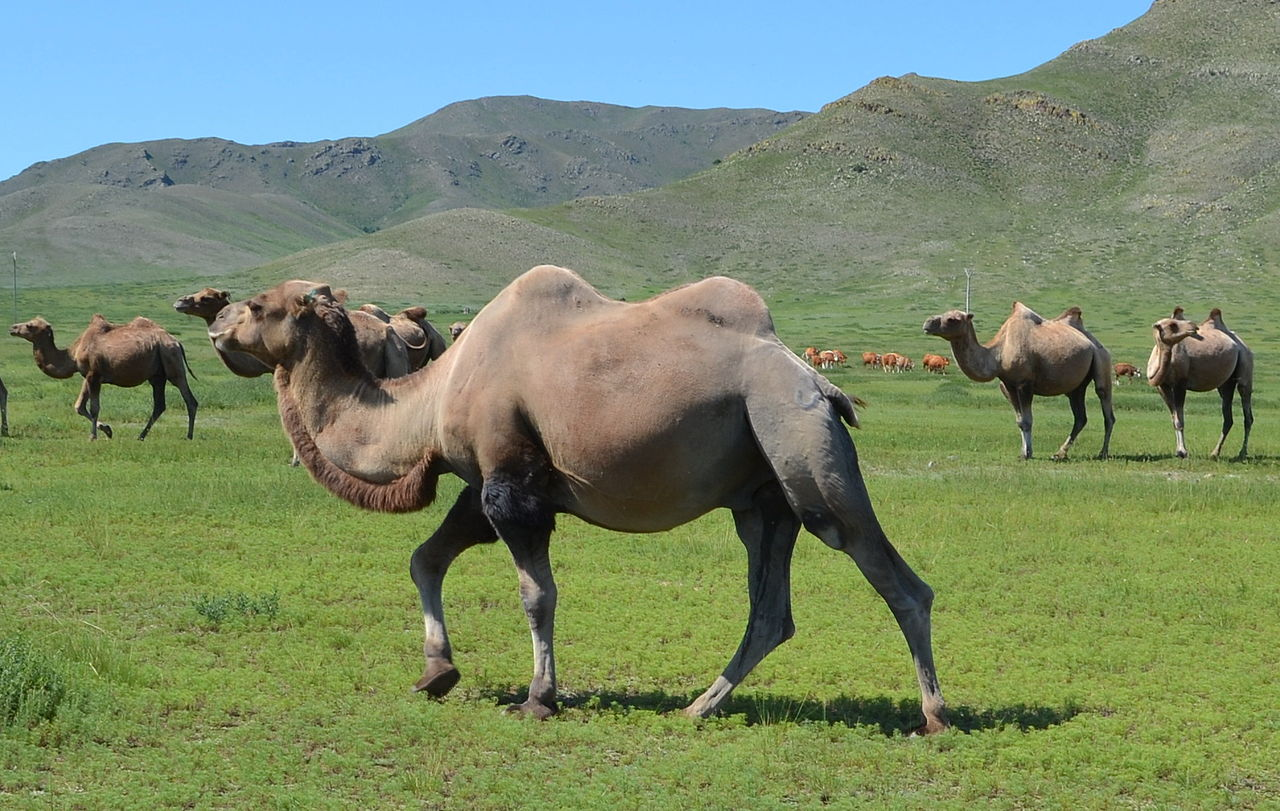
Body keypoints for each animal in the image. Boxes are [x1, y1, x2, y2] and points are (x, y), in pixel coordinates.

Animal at [10, 314, 198, 440]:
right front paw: (107, 430)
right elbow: (79, 406)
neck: (72, 354)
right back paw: (141, 436)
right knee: (159, 404)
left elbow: (94, 408)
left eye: (30, 326)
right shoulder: (87, 375)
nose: (12, 328)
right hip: (157, 374)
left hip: (171, 360)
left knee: (189, 398)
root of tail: (176, 342)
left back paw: (188, 436)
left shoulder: (94, 374)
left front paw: (93, 436)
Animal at [209, 268, 952, 736]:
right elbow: (426, 558)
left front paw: (538, 699)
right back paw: (699, 706)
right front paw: (436, 672)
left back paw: (935, 715)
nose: (214, 321)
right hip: (763, 498)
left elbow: (537, 595)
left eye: (259, 304)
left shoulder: (513, 487)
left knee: (894, 578)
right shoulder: (487, 483)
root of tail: (817, 382)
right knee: (771, 609)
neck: (433, 397)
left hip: (799, 444)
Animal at [926, 300, 1116, 457]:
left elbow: (1027, 420)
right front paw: (1023, 451)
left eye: (953, 319)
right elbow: (1019, 421)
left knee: (1106, 406)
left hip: (1101, 360)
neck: (998, 354)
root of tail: (1094, 342)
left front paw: (1028, 454)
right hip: (1076, 386)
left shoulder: (1025, 384)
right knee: (1080, 417)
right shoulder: (1008, 384)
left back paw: (1102, 453)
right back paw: (1059, 453)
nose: (927, 322)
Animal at [1146, 305, 1254, 457]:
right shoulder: (1162, 386)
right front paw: (1178, 451)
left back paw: (1242, 453)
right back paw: (1215, 453)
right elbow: (1174, 418)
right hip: (1225, 383)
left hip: (1245, 362)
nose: (1193, 326)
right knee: (1228, 417)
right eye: (1173, 325)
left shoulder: (1181, 384)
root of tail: (1241, 343)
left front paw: (1183, 452)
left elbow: (1180, 419)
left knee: (1247, 411)